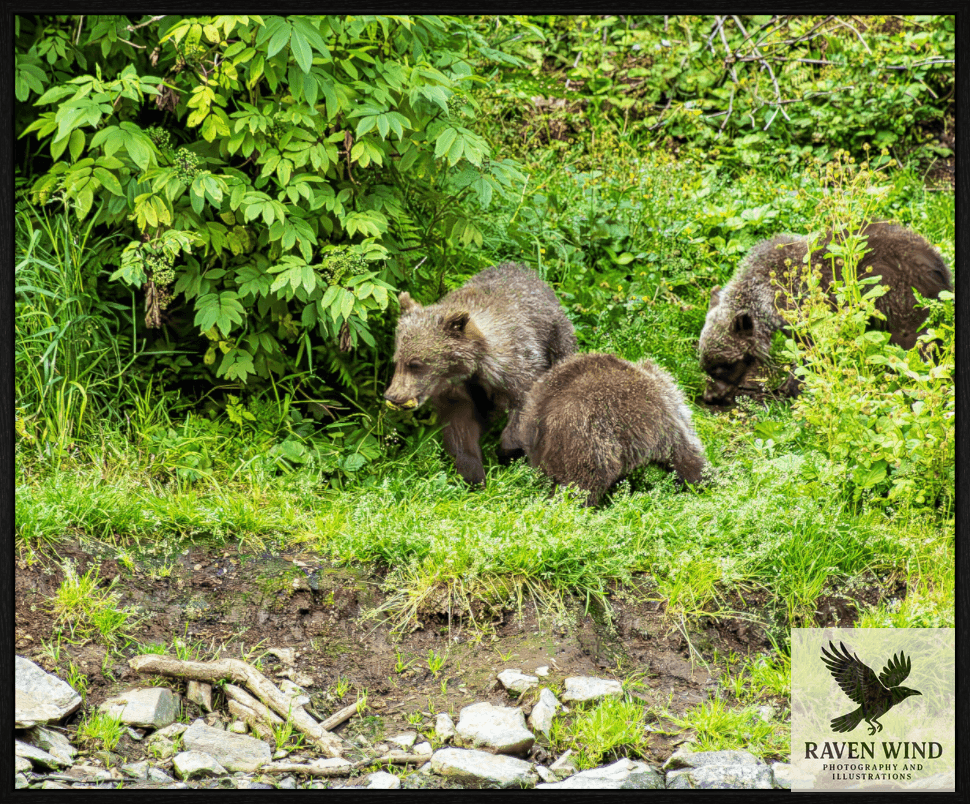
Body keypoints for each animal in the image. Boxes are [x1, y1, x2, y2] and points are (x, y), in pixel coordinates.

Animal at [384, 263, 577, 486]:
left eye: (416, 364)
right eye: (397, 361)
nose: (393, 395)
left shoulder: (520, 367)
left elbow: (523, 409)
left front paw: (508, 453)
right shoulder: (457, 391)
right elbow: (461, 427)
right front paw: (473, 475)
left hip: (558, 338)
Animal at [698, 221, 952, 405]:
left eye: (722, 366)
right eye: (705, 364)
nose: (709, 396)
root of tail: (938, 264)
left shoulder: (803, 309)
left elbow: (812, 349)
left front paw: (794, 386)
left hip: (899, 298)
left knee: (917, 343)